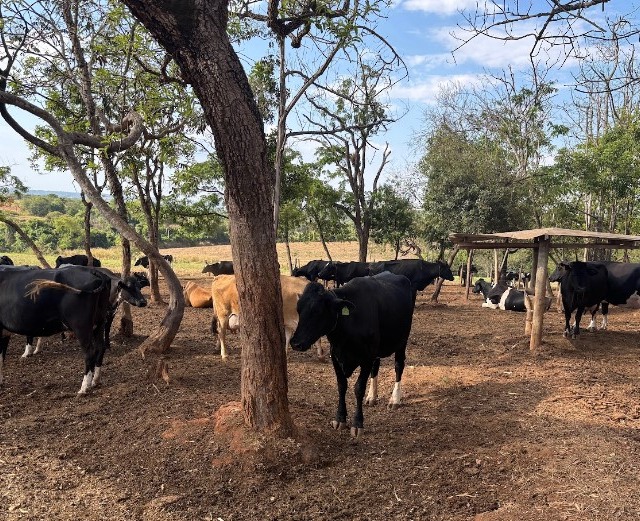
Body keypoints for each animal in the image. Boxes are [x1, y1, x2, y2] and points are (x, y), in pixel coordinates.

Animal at [290, 271, 415, 438]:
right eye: (298, 309)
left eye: (317, 311)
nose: (295, 343)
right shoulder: (335, 356)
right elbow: (342, 385)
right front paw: (340, 419)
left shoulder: (367, 357)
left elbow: (358, 388)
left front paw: (357, 423)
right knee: (376, 367)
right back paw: (372, 397)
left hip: (402, 340)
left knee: (399, 366)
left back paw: (395, 399)